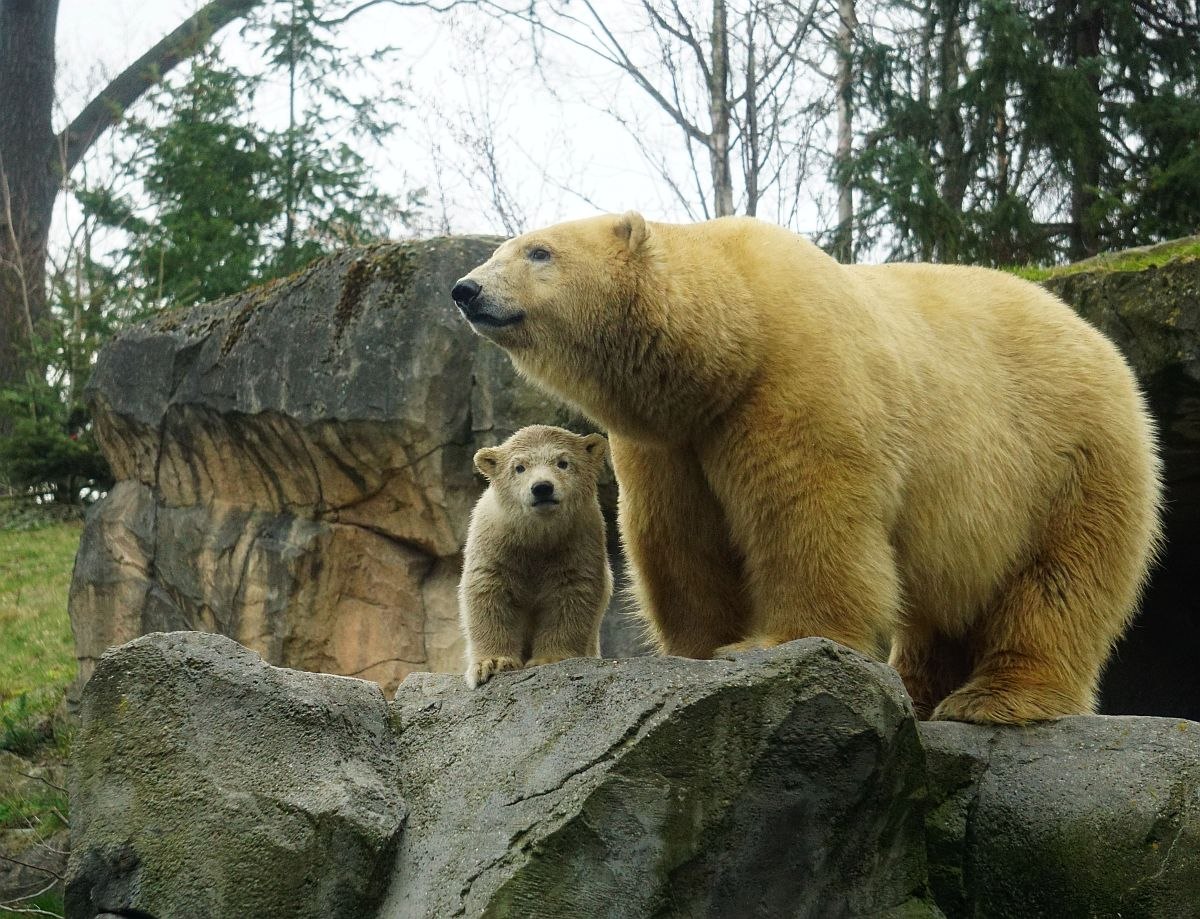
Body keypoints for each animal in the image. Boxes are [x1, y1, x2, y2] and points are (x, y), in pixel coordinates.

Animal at [451, 215, 1161, 729]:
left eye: (538, 251)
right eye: (508, 247)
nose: (465, 290)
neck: (735, 329)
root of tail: (1098, 341)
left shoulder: (796, 378)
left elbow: (805, 512)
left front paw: (768, 643)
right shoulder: (670, 438)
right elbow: (680, 538)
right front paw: (699, 650)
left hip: (1068, 454)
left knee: (1059, 580)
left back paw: (995, 699)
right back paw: (918, 690)